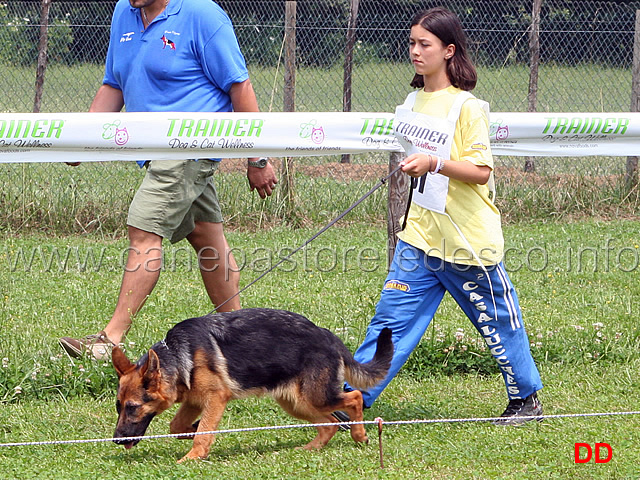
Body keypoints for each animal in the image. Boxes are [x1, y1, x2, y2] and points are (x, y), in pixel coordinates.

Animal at [114, 308, 396, 462]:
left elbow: (203, 433)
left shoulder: (216, 397)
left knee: (355, 397)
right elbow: (177, 427)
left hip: (315, 397)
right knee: (330, 423)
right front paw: (192, 430)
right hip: (297, 402)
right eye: (119, 407)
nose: (116, 440)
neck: (177, 353)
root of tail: (327, 335)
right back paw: (311, 448)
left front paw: (193, 456)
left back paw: (359, 435)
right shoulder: (194, 400)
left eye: (133, 407)